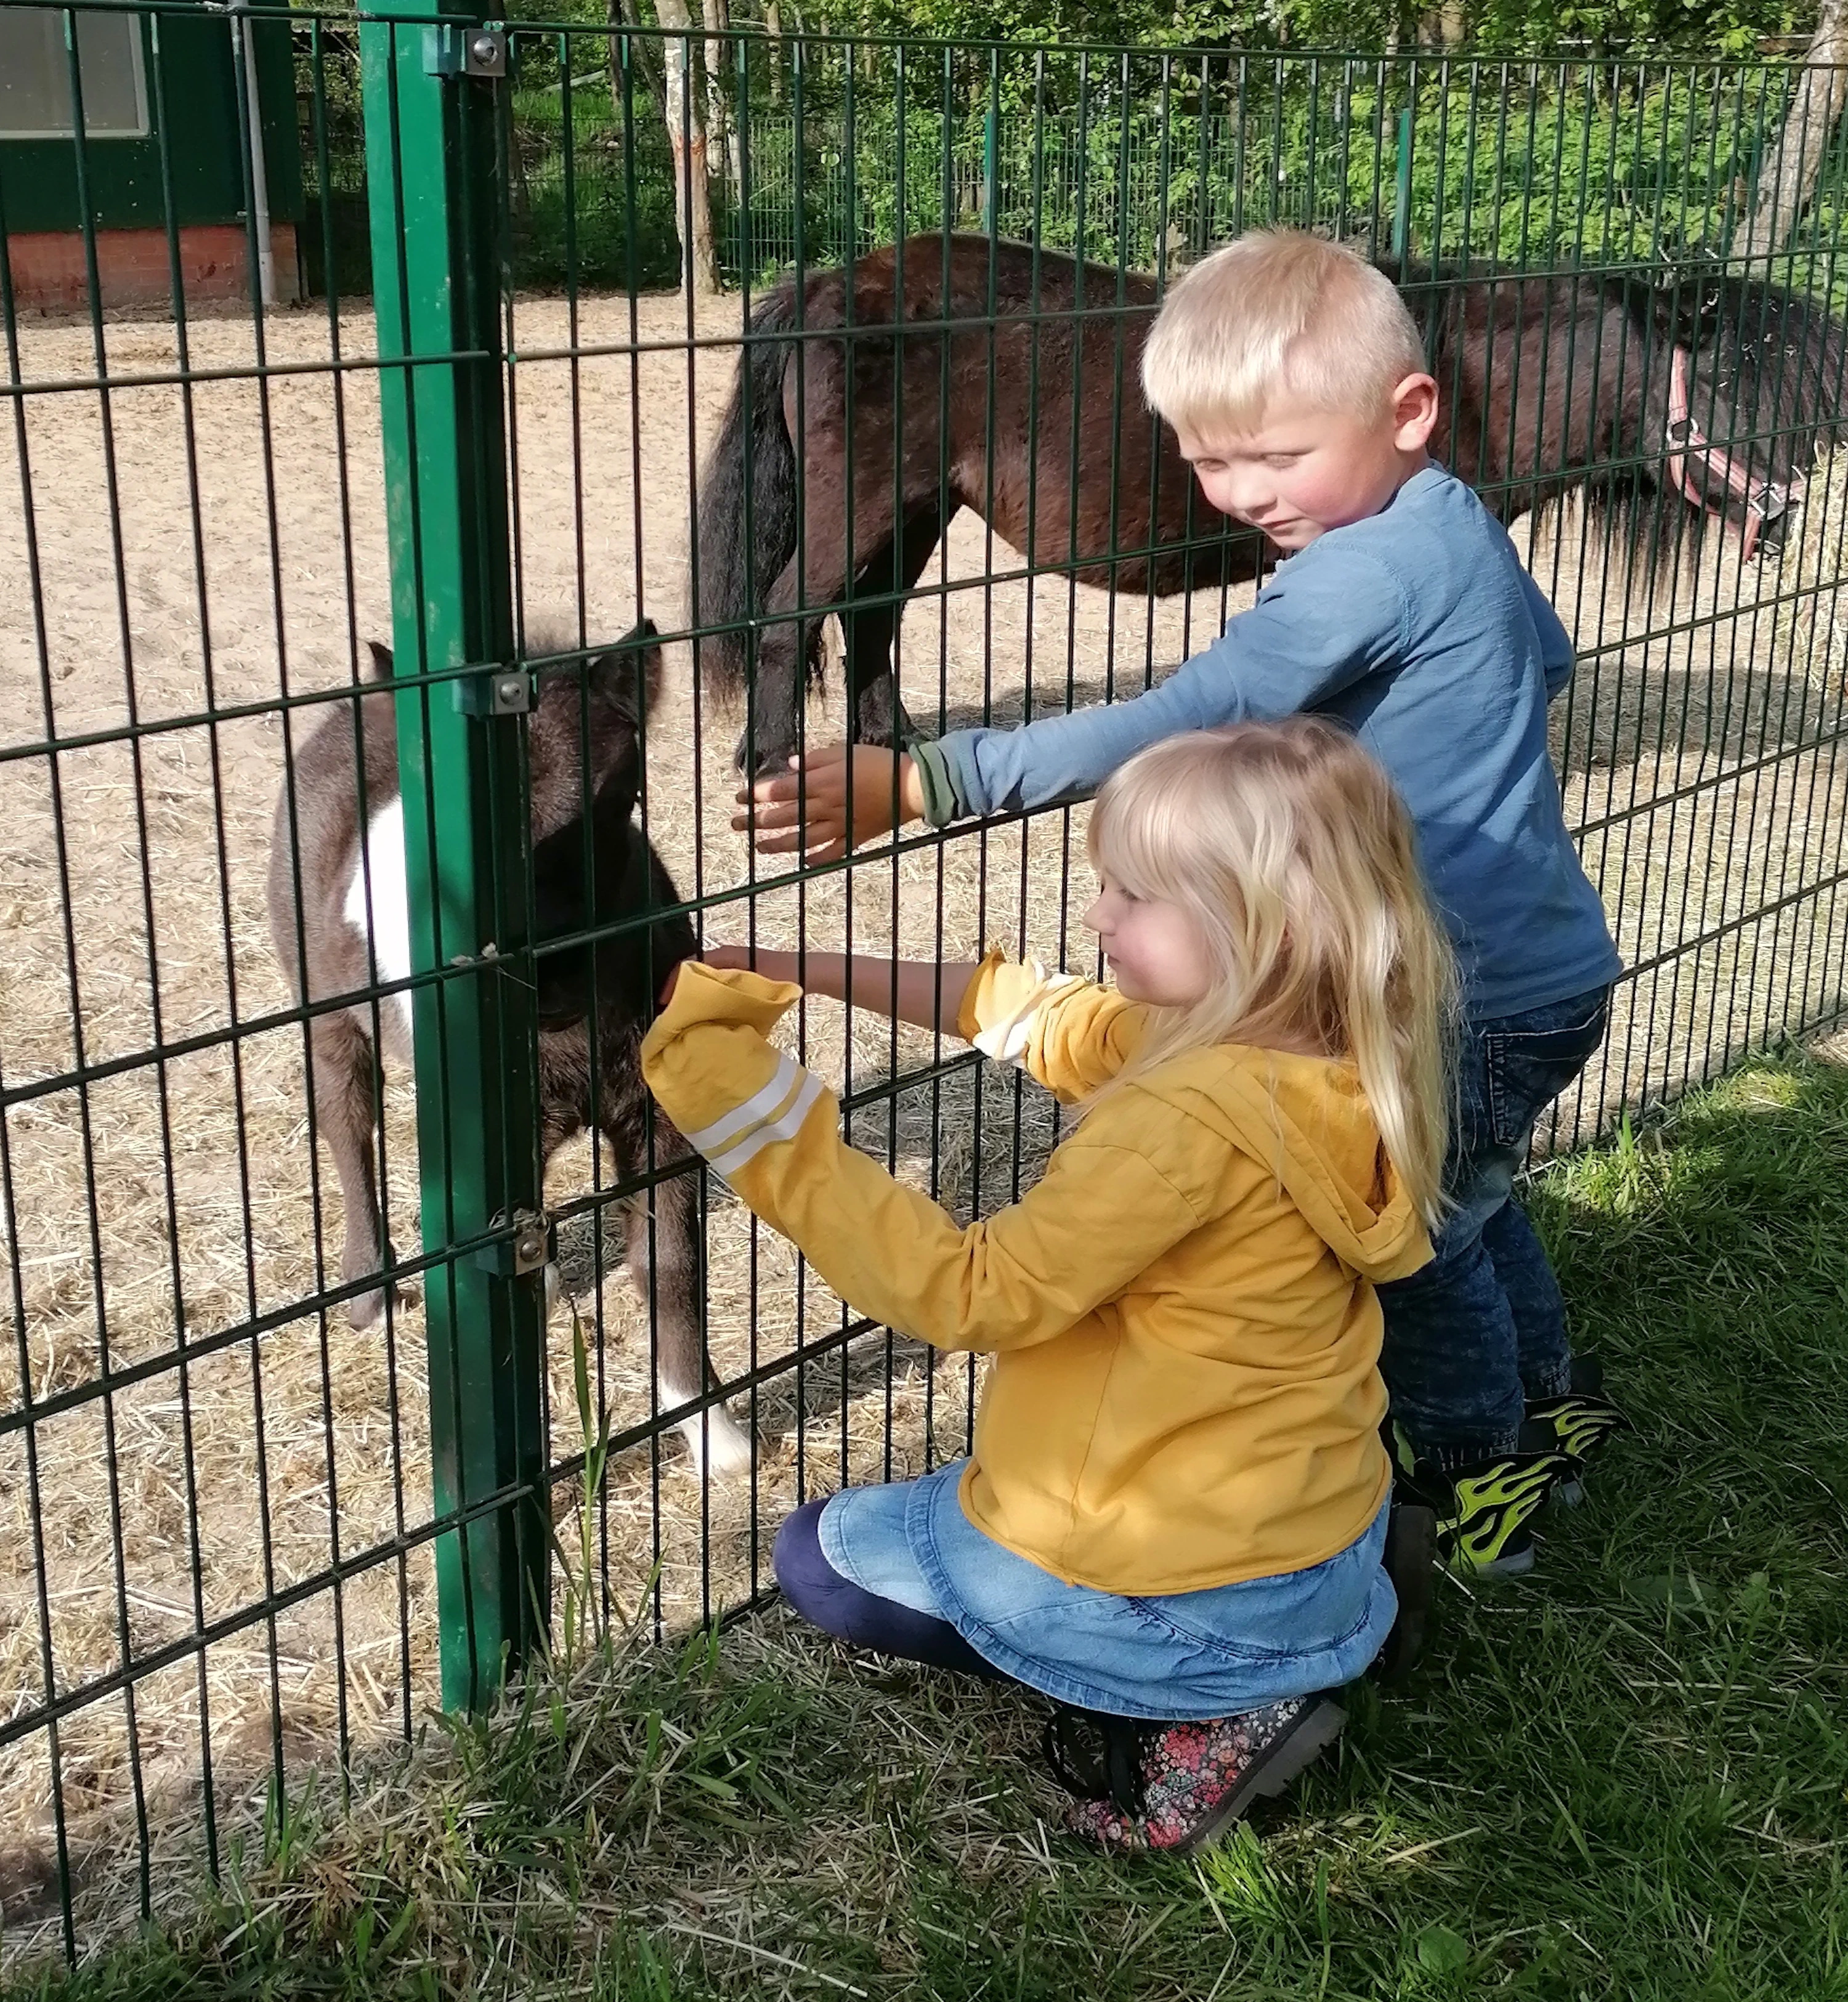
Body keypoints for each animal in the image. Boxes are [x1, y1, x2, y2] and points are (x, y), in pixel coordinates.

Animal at [693, 233, 1844, 775]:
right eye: (1729, 378)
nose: (1786, 507)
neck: (1454, 372)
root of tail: (832, 284)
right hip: (859, 504)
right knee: (792, 619)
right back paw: (773, 764)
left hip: (916, 510)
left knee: (870, 619)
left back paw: (888, 753)